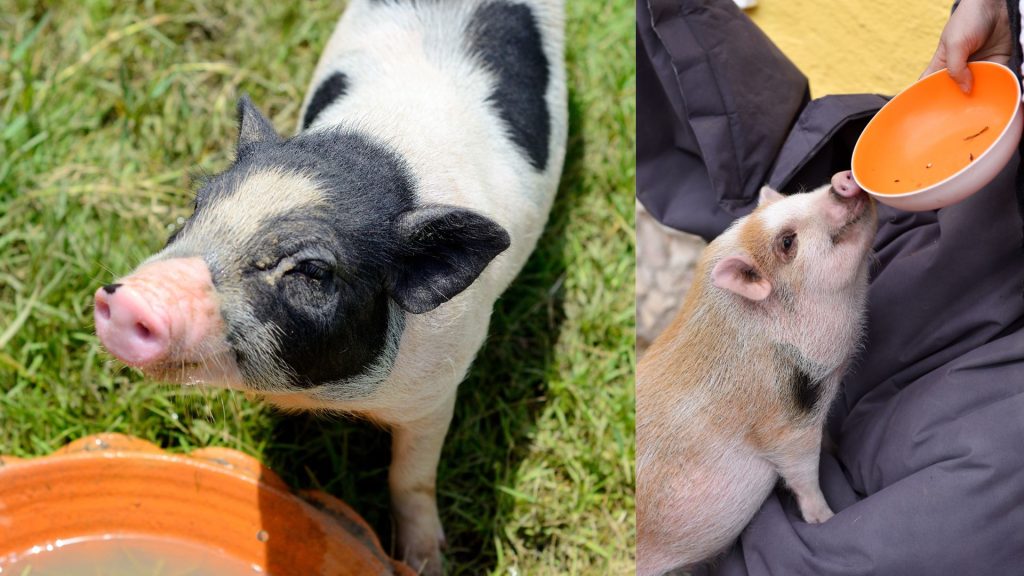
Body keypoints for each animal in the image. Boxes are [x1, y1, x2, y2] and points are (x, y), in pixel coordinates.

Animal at [92, 1, 567, 574]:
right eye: (197, 208)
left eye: (313, 271)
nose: (132, 296)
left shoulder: (438, 389)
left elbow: (411, 477)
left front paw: (426, 563)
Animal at [635, 172, 877, 576]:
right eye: (787, 242)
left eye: (797, 194)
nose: (842, 179)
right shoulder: (782, 425)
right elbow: (803, 473)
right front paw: (825, 519)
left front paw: (836, 447)